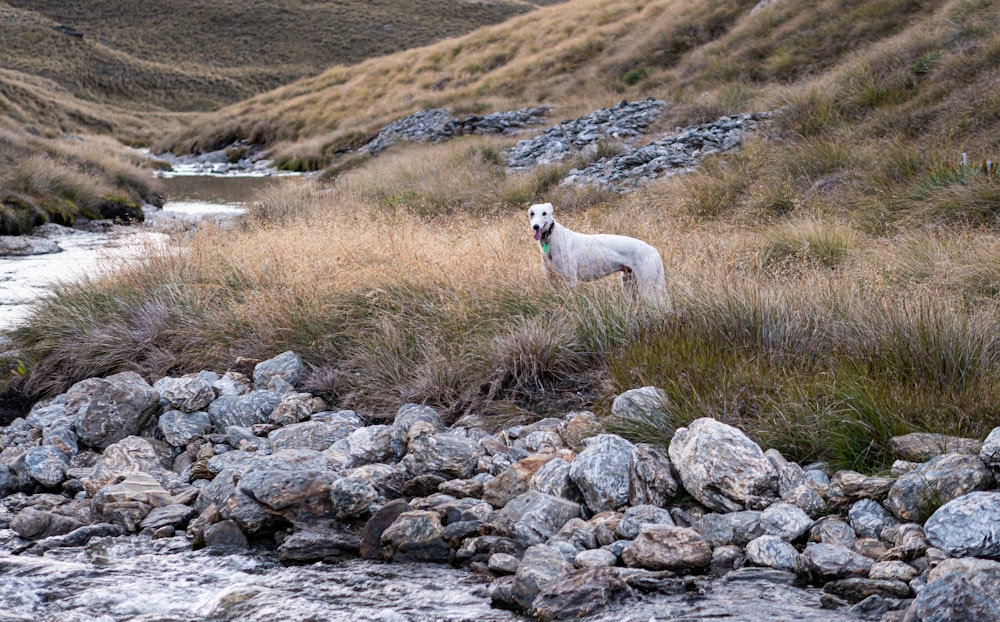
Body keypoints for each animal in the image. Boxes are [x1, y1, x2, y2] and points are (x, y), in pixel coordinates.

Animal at [528, 202, 668, 304]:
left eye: (544, 213)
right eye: (531, 213)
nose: (535, 226)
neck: (551, 238)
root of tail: (653, 250)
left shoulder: (571, 281)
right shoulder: (551, 281)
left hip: (647, 286)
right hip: (629, 284)